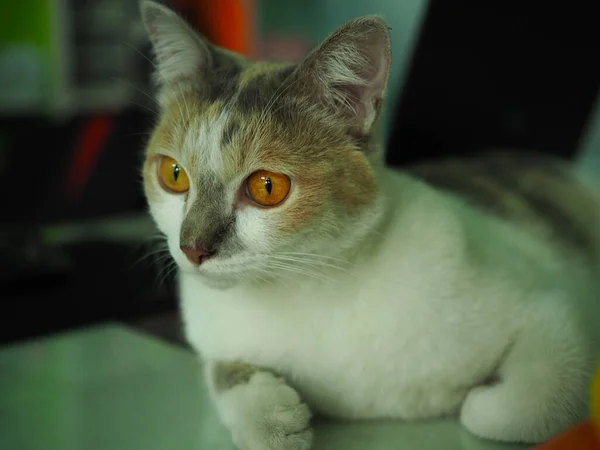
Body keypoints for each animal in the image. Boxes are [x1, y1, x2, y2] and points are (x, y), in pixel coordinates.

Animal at [138, 1, 600, 448]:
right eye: (174, 175)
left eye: (267, 187)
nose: (192, 248)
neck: (311, 288)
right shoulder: (214, 337)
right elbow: (225, 376)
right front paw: (273, 419)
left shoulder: (556, 304)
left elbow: (521, 409)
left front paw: (476, 400)